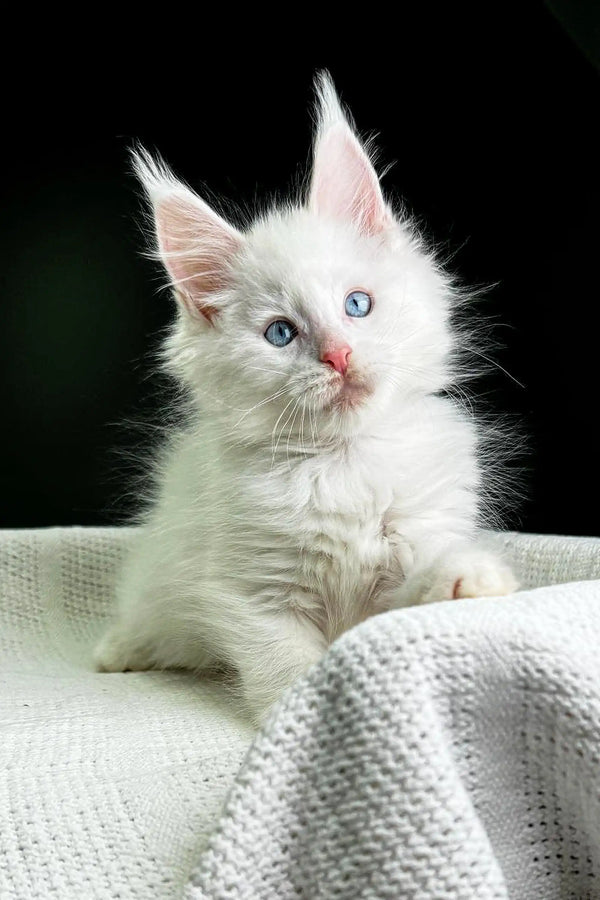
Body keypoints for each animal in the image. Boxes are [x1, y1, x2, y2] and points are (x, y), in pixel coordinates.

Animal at [96, 74, 516, 728]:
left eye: (357, 305)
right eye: (281, 334)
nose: (338, 355)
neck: (344, 463)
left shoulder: (412, 536)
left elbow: (425, 575)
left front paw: (468, 580)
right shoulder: (252, 592)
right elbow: (284, 663)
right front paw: (305, 716)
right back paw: (121, 650)